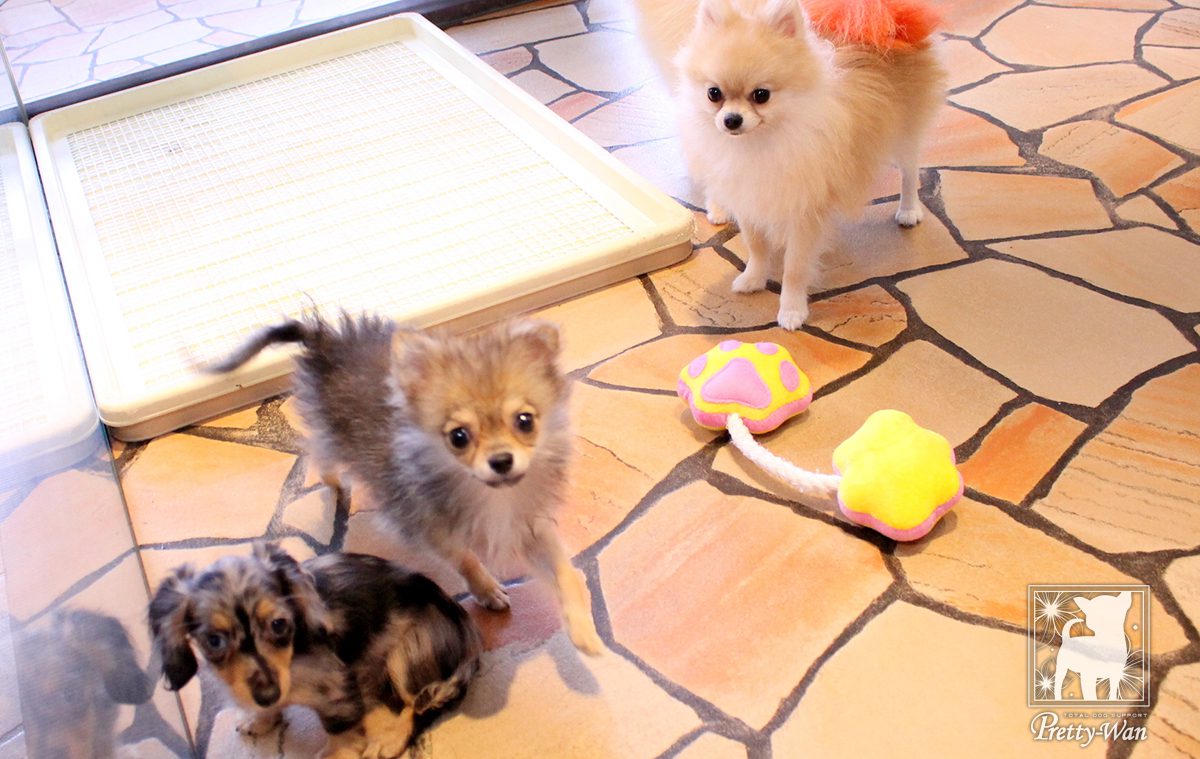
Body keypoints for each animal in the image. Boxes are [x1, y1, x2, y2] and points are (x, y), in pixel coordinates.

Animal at [149, 543, 480, 758]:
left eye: (278, 624)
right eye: (214, 640)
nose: (267, 695)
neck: (293, 658)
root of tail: (467, 631)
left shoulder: (338, 691)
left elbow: (338, 733)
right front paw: (260, 718)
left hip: (407, 657)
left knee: (420, 705)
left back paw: (391, 739)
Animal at [211, 313, 603, 657]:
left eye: (525, 421)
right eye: (458, 437)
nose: (501, 460)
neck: (490, 494)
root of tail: (326, 340)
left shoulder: (529, 524)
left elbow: (566, 573)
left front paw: (583, 631)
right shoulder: (431, 527)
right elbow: (466, 560)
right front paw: (488, 591)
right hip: (331, 436)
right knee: (320, 455)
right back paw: (335, 482)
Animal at [632, 0, 947, 329]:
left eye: (761, 95)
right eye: (713, 93)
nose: (731, 120)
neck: (758, 144)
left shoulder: (805, 211)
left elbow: (795, 267)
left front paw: (792, 310)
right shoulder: (747, 200)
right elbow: (756, 246)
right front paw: (753, 279)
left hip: (905, 133)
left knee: (910, 172)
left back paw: (909, 210)